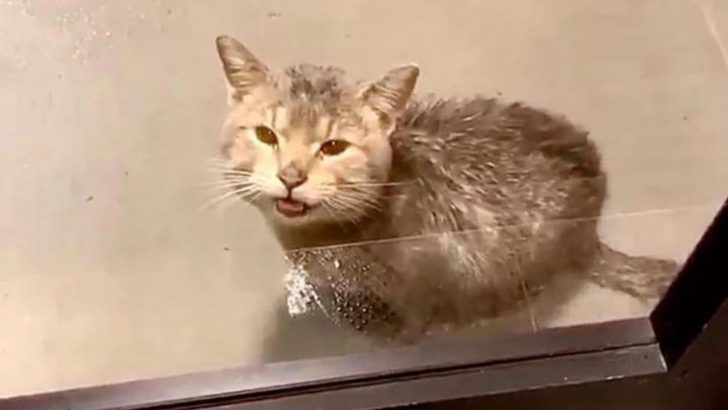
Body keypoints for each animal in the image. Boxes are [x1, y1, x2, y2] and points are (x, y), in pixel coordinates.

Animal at [213, 35, 680, 342]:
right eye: (266, 135)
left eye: (333, 147)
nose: (291, 176)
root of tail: (590, 232)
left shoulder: (419, 289)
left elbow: (403, 325)